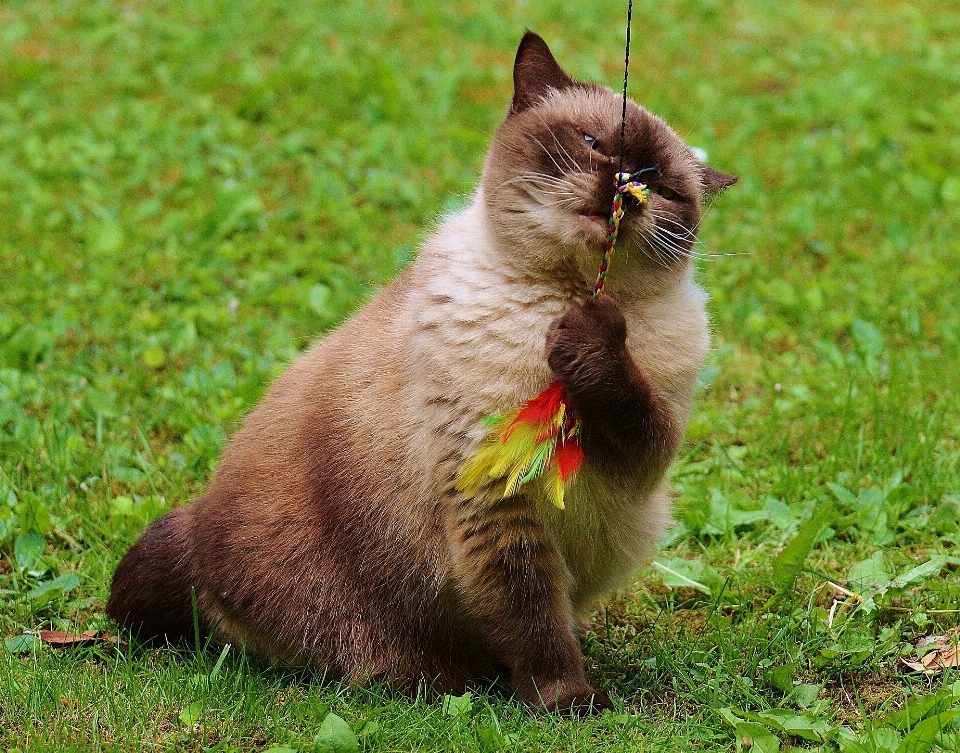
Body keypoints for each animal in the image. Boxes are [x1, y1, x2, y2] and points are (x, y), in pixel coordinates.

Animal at [107, 30, 736, 712]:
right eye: (595, 144)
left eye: (657, 182)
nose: (623, 188)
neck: (564, 294)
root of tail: (197, 535)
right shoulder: (495, 504)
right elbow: (534, 621)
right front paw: (567, 701)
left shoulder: (647, 452)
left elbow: (626, 403)